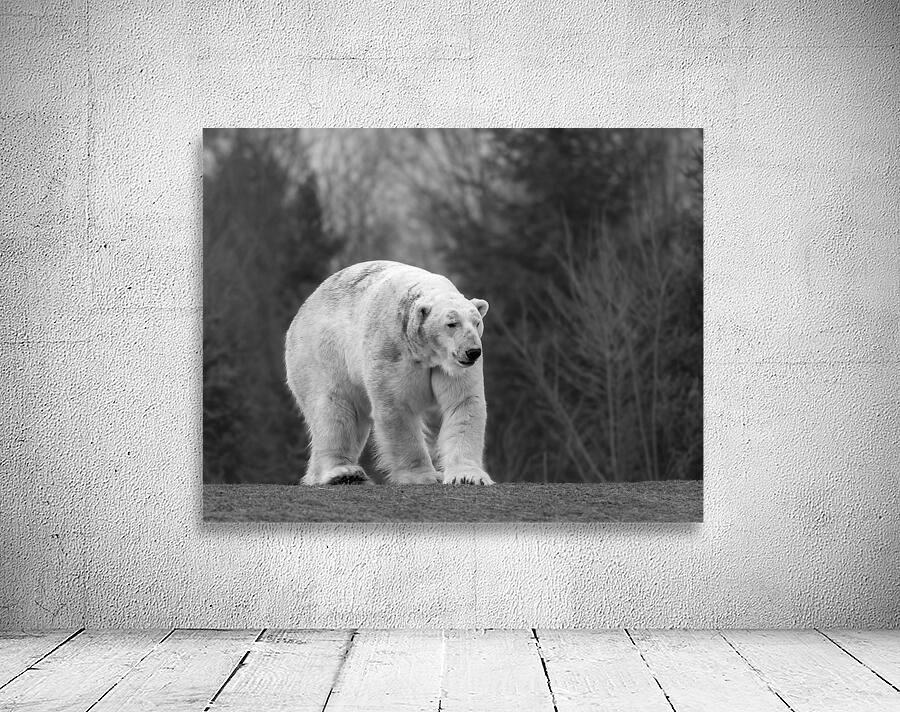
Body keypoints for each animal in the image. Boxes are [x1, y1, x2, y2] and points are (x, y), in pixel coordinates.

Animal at [285, 260, 494, 486]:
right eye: (451, 323)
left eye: (477, 322)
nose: (472, 351)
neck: (425, 352)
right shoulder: (391, 349)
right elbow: (396, 407)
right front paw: (422, 476)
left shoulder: (450, 367)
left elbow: (463, 403)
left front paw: (467, 476)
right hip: (321, 355)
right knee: (334, 409)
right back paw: (343, 472)